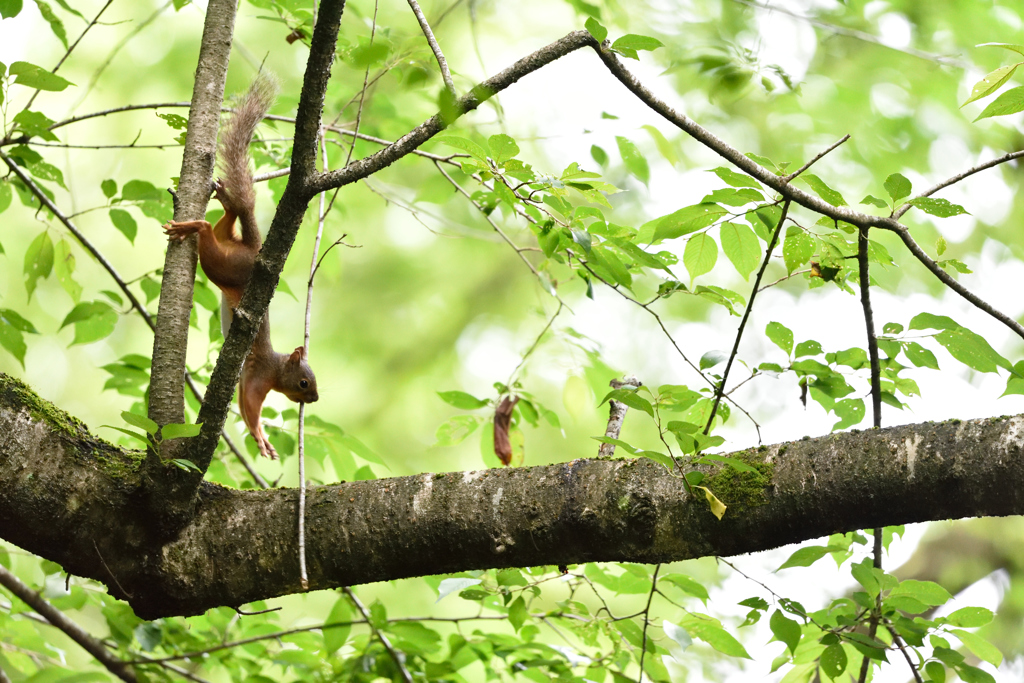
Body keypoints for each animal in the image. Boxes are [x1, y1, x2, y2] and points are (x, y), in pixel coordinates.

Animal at [162, 74, 319, 458]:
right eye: (304, 382)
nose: (315, 399)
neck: (277, 367)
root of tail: (252, 249)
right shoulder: (256, 378)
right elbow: (249, 409)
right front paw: (261, 439)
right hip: (225, 266)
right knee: (207, 230)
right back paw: (188, 227)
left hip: (228, 245)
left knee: (227, 220)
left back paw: (225, 198)